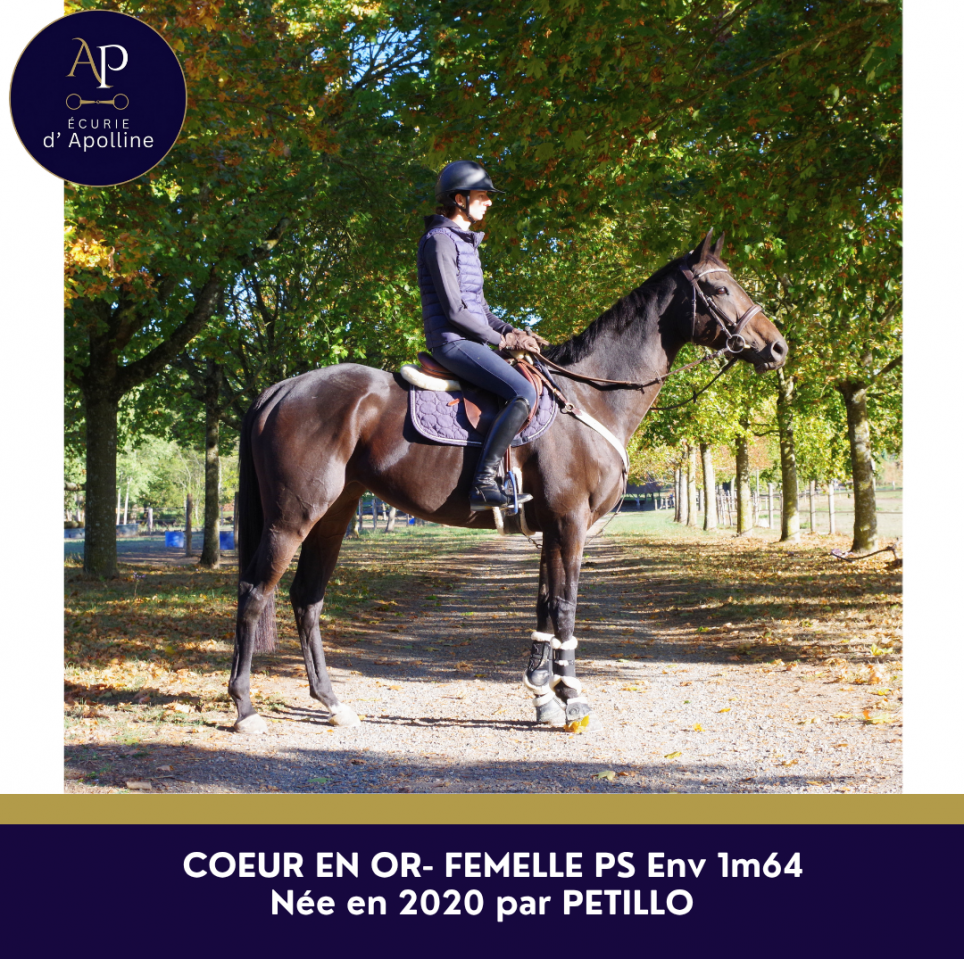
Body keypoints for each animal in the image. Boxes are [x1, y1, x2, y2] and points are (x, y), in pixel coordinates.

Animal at [228, 229, 788, 734]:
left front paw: (543, 695)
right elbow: (565, 606)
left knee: (307, 599)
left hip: (334, 515)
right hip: (292, 517)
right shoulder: (570, 523)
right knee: (255, 593)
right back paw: (246, 708)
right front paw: (573, 700)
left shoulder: (552, 528)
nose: (778, 347)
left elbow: (543, 603)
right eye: (719, 288)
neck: (588, 398)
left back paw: (332, 703)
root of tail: (284, 387)